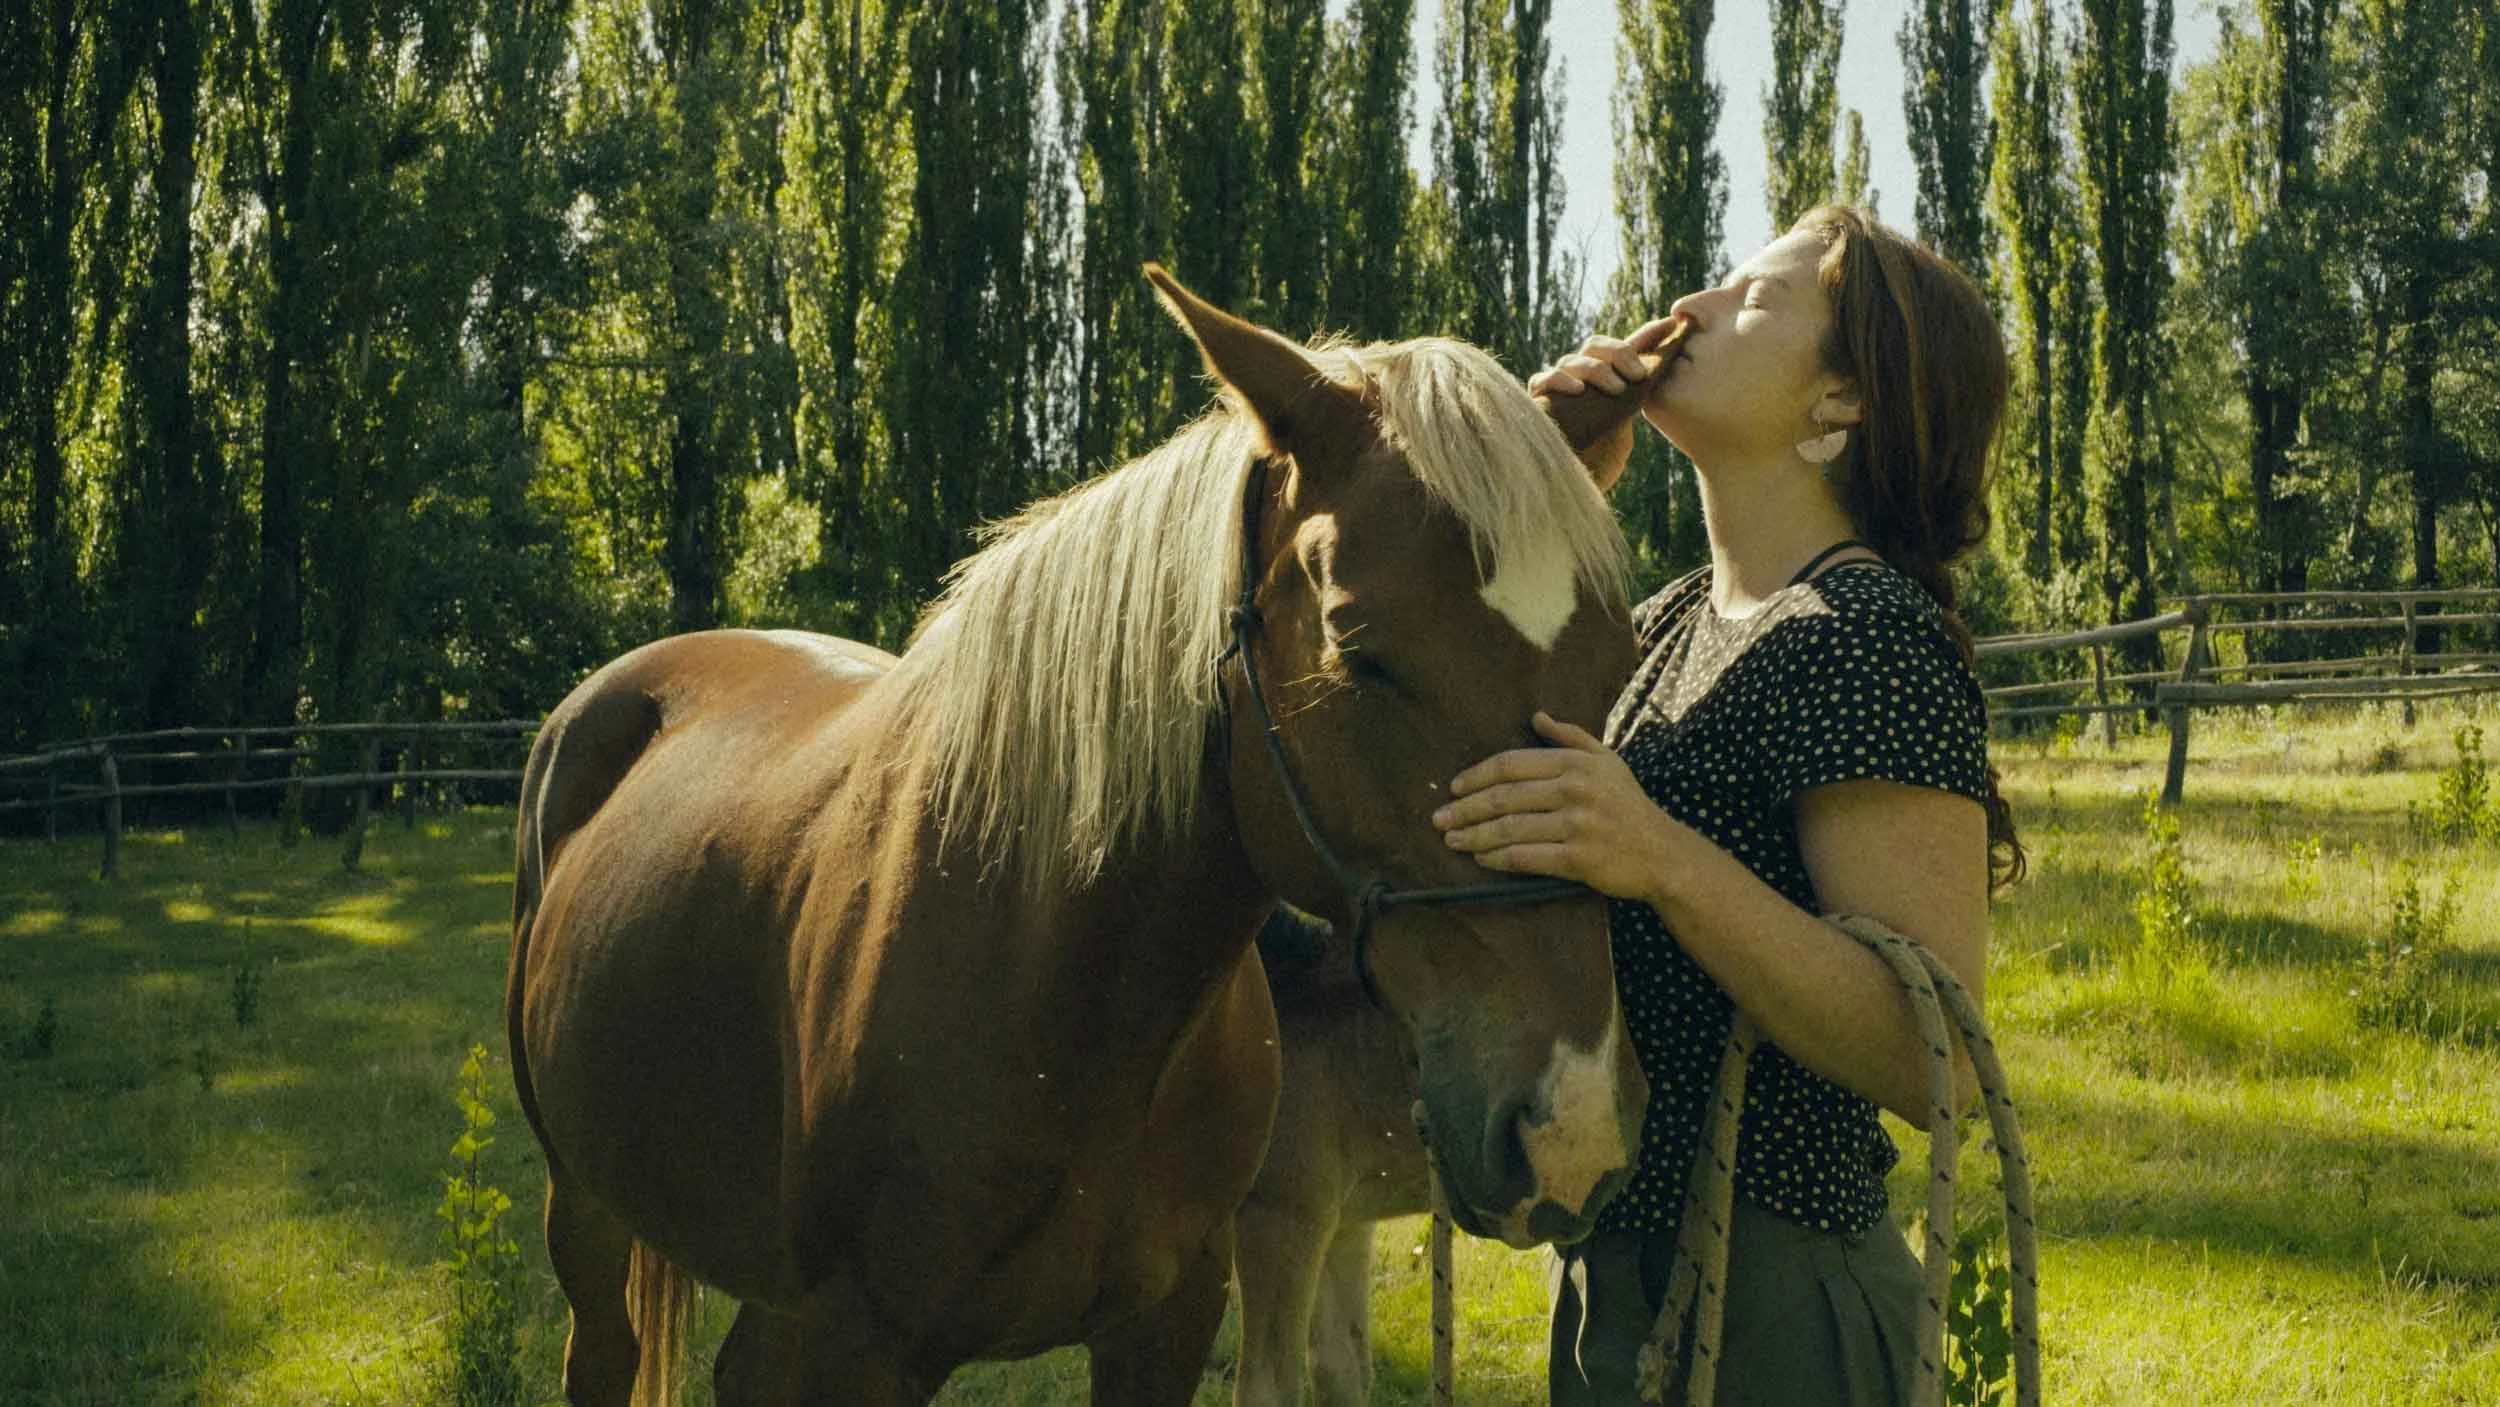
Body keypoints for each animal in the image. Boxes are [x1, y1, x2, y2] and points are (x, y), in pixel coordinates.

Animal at [504, 266, 1650, 1407]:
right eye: (1359, 652)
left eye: (1616, 661)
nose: (1570, 1128)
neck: (1057, 998)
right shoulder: (852, 1345)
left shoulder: (1169, 1323)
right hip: (583, 1212)